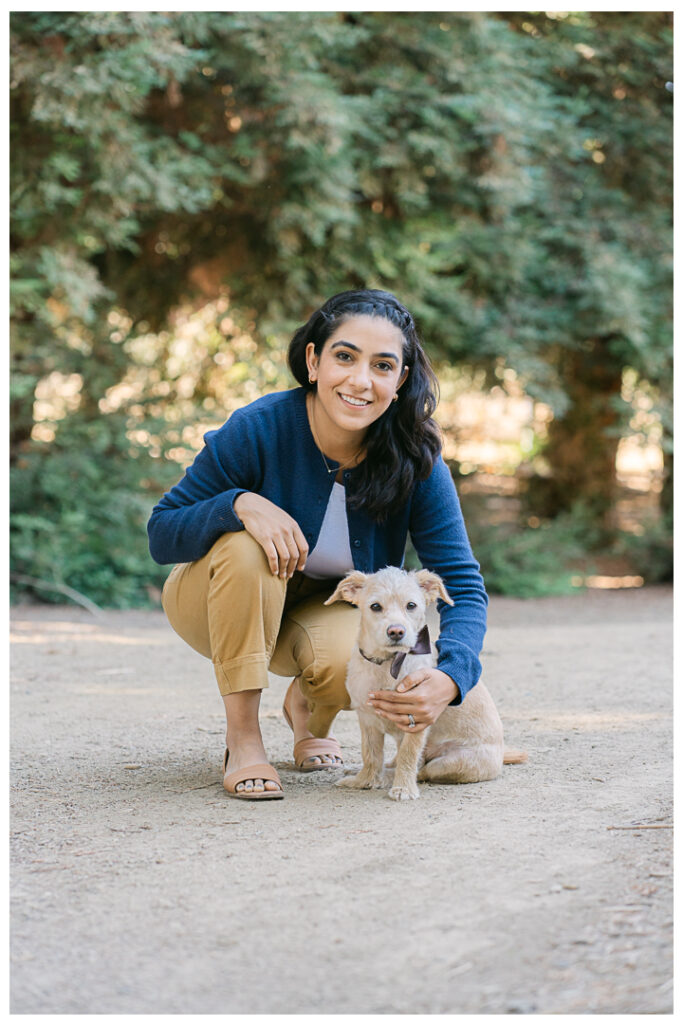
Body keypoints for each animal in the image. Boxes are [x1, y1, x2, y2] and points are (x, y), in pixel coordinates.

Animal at [325, 569, 528, 798]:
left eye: (411, 605)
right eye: (375, 606)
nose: (396, 631)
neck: (387, 663)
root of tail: (501, 755)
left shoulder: (416, 719)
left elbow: (409, 755)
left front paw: (403, 788)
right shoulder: (367, 718)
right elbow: (370, 753)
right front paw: (364, 780)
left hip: (449, 762)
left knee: (422, 768)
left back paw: (390, 777)